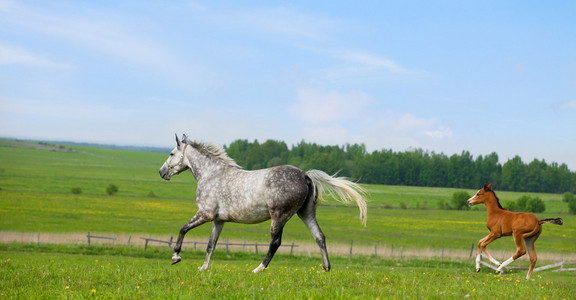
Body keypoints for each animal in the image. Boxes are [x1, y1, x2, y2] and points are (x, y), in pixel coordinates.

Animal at [159, 134, 364, 272]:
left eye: (171, 153)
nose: (161, 172)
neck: (212, 174)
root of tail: (304, 175)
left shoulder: (205, 214)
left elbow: (183, 229)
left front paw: (175, 257)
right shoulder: (218, 220)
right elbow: (211, 244)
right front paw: (204, 268)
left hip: (279, 216)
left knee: (275, 242)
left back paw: (258, 269)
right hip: (306, 214)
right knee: (319, 236)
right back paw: (325, 269)